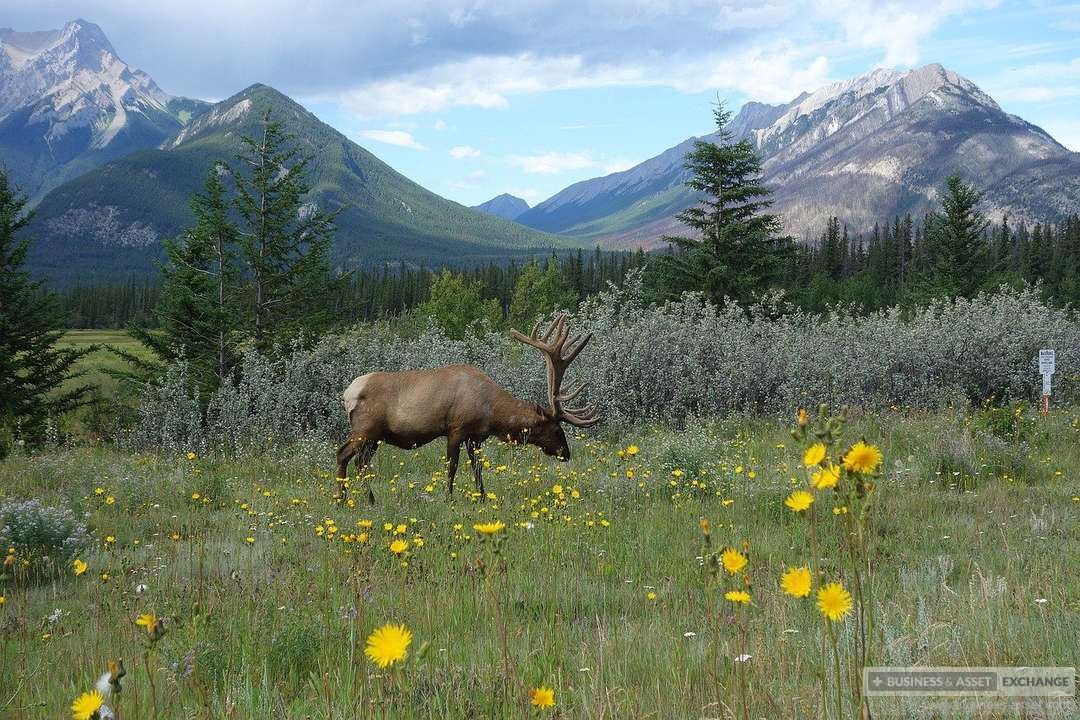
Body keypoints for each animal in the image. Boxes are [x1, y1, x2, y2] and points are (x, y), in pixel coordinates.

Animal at [332, 313, 600, 505]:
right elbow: (452, 467)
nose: (566, 453)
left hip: (375, 438)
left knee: (361, 463)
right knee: (344, 454)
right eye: (556, 429)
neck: (493, 414)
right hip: (365, 430)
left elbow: (477, 468)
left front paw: (482, 497)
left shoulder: (476, 436)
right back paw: (345, 500)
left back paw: (364, 499)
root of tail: (347, 394)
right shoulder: (456, 429)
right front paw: (448, 498)